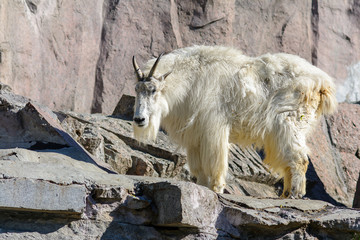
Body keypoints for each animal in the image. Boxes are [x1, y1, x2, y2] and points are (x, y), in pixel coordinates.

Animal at [132, 45, 338, 199]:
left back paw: (294, 194)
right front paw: (202, 186)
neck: (190, 80)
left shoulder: (214, 128)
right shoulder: (195, 135)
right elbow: (199, 167)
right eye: (137, 89)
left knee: (299, 158)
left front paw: (216, 188)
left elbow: (215, 161)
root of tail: (323, 84)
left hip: (290, 122)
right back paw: (286, 194)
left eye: (153, 89)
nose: (139, 119)